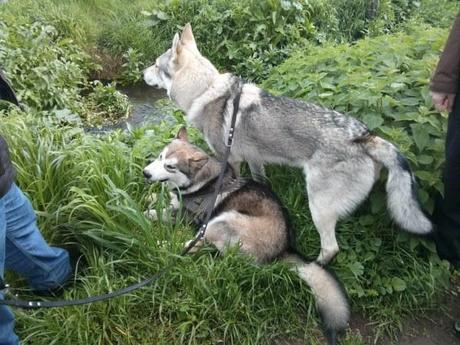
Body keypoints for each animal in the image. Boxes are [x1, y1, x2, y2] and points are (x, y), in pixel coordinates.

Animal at [143, 23, 432, 264]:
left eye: (156, 65)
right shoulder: (254, 159)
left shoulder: (230, 159)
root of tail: (365, 135)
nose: (142, 72)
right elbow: (260, 180)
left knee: (330, 248)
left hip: (318, 205)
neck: (205, 90)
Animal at [143, 127, 348, 342]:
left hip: (222, 219)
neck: (202, 182)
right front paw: (148, 197)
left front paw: (145, 214)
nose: (145, 173)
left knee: (195, 246)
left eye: (170, 167)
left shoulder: (185, 216)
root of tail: (282, 251)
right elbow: (160, 199)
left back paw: (162, 246)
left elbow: (158, 213)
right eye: (160, 157)